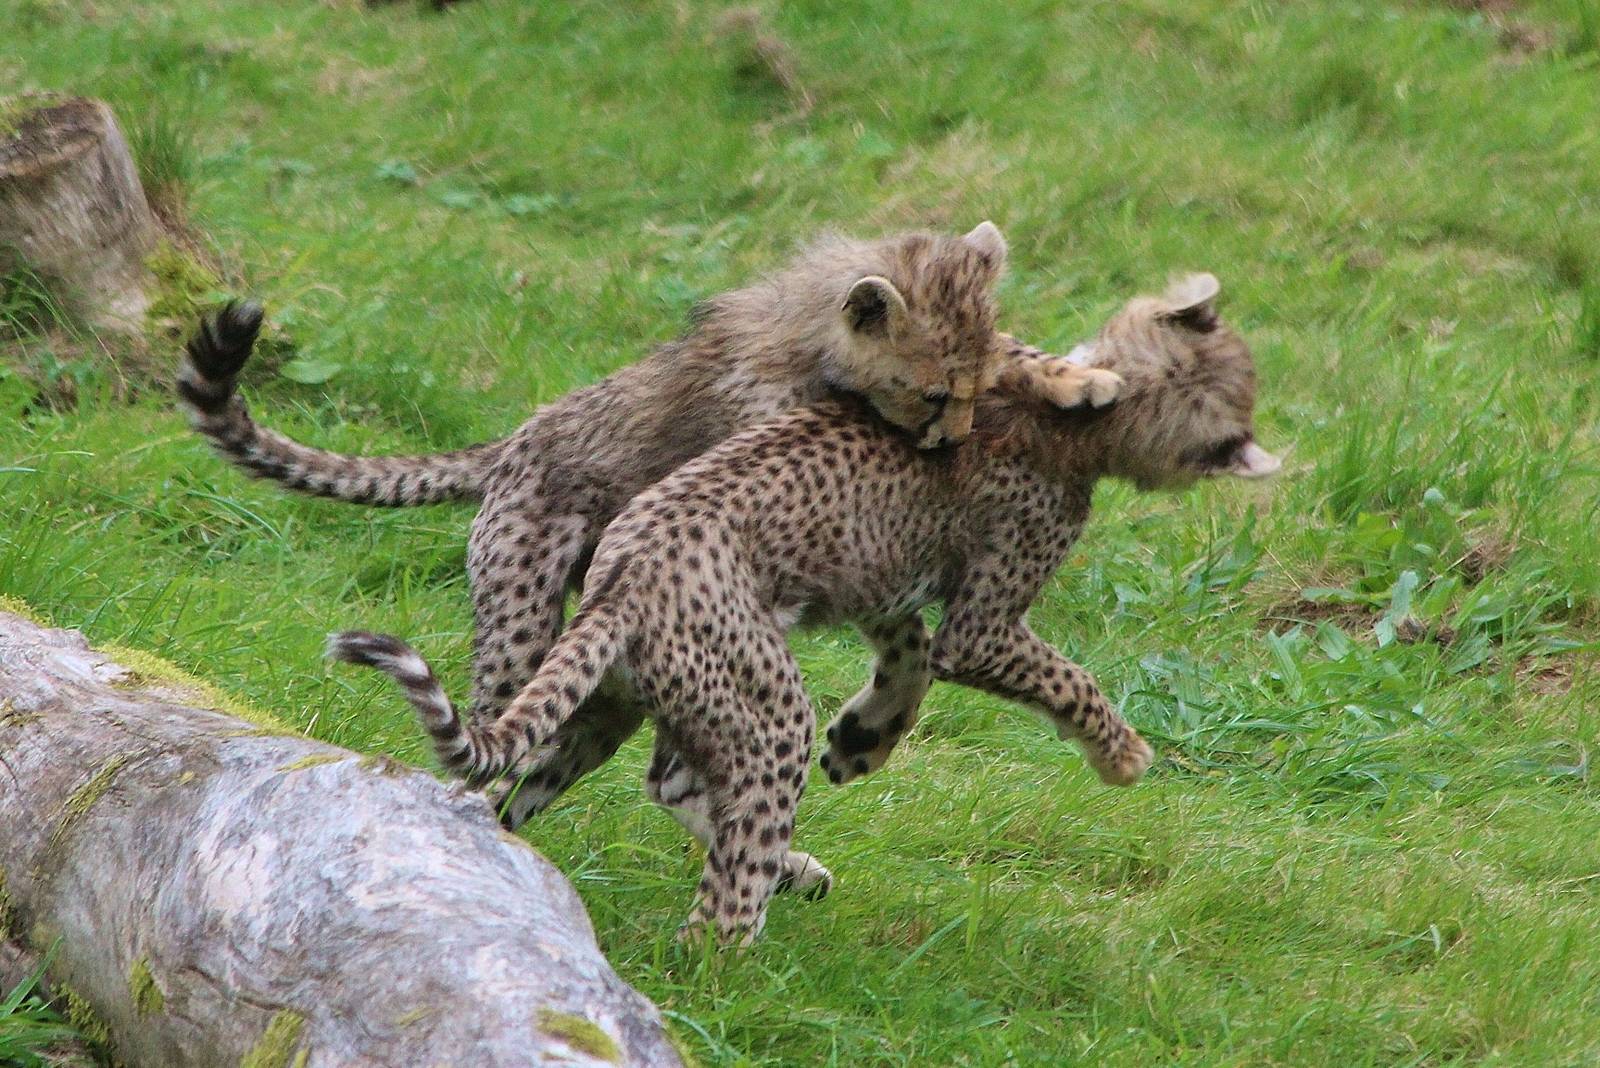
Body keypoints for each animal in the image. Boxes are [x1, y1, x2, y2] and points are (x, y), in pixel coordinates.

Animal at [177, 222, 1122, 765]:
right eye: (931, 397)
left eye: (974, 388)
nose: (955, 441)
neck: (814, 344)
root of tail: (514, 439)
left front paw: (1079, 377)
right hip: (524, 602)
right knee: (505, 706)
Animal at [329, 273, 1283, 945]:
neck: (1096, 424)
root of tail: (623, 578)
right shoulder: (980, 624)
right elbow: (1058, 674)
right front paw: (1121, 753)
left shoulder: (881, 580)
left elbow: (908, 661)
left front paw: (864, 739)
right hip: (753, 695)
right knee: (715, 882)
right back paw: (738, 966)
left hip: (608, 706)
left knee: (544, 786)